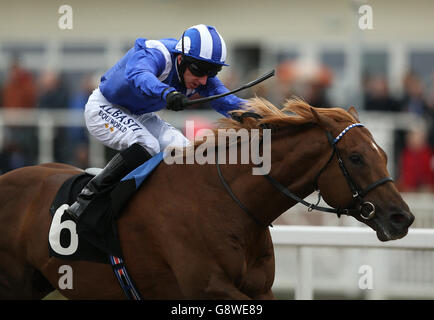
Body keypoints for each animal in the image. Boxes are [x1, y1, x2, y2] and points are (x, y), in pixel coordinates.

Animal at [0, 98, 414, 300]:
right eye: (356, 157)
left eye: (384, 153)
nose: (402, 218)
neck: (226, 202)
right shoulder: (206, 287)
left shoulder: (260, 288)